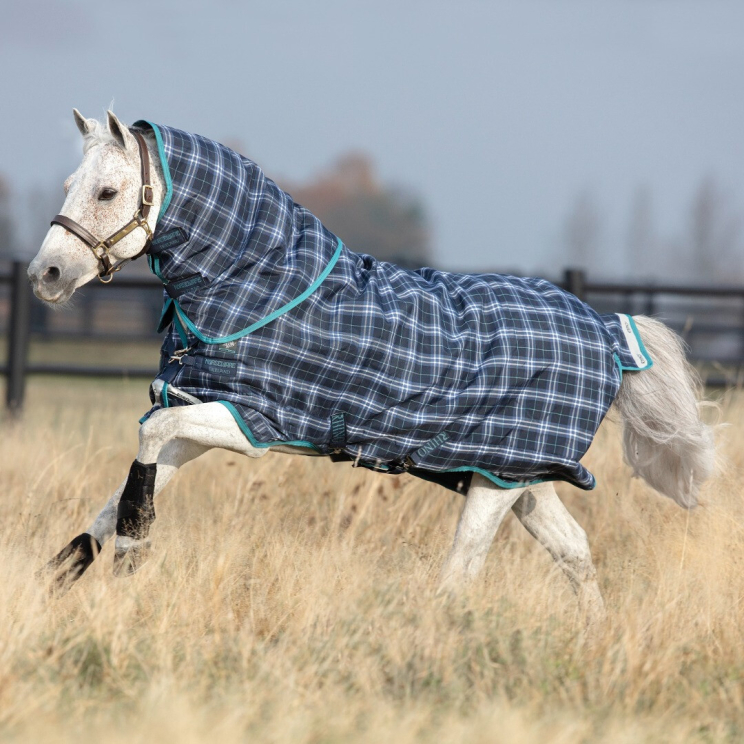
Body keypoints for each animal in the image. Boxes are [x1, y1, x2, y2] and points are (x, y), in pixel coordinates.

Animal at [29, 109, 715, 627]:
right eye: (67, 186)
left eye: (108, 192)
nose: (46, 275)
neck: (262, 286)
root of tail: (606, 329)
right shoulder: (199, 412)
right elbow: (118, 493)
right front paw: (50, 584)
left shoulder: (248, 422)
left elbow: (145, 449)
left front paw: (134, 554)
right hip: (516, 476)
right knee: (573, 552)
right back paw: (594, 637)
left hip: (498, 483)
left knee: (462, 571)